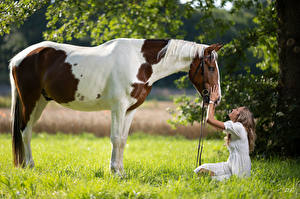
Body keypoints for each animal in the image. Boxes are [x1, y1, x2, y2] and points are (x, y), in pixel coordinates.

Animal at [9, 38, 223, 175]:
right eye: (211, 67)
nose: (217, 98)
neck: (139, 61)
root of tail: (19, 58)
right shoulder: (118, 108)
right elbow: (116, 139)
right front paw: (115, 172)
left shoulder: (130, 110)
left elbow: (123, 140)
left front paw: (121, 171)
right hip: (30, 100)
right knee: (25, 131)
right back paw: (30, 166)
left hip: (40, 102)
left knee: (27, 130)